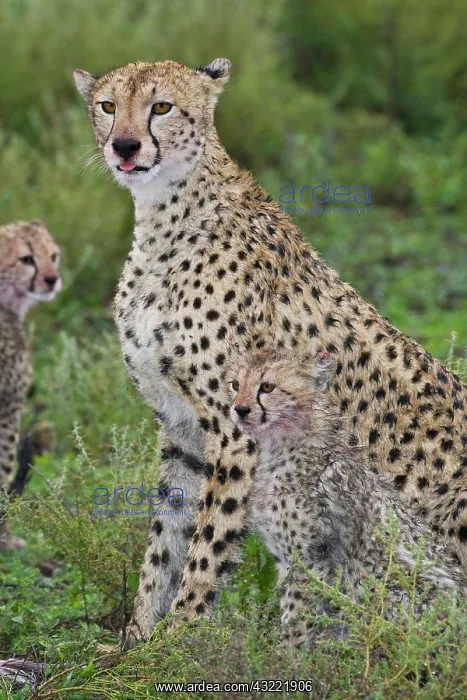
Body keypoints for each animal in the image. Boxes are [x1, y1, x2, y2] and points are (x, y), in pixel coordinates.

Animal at [227, 348, 467, 645]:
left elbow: (298, 617)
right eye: (235, 384)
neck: (282, 445)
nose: (240, 409)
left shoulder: (310, 559)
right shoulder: (285, 559)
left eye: (267, 386)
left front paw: (288, 652)